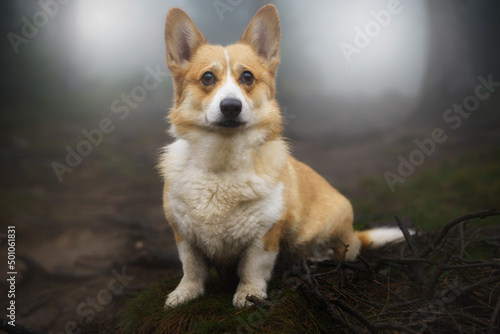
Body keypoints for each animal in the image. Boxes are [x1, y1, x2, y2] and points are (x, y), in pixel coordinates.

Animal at [160, 4, 406, 308]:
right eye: (207, 77)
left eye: (247, 77)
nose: (231, 107)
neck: (222, 161)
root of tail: (354, 232)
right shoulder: (183, 234)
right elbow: (192, 268)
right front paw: (184, 294)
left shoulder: (266, 234)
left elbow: (252, 268)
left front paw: (249, 294)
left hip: (333, 228)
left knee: (338, 251)